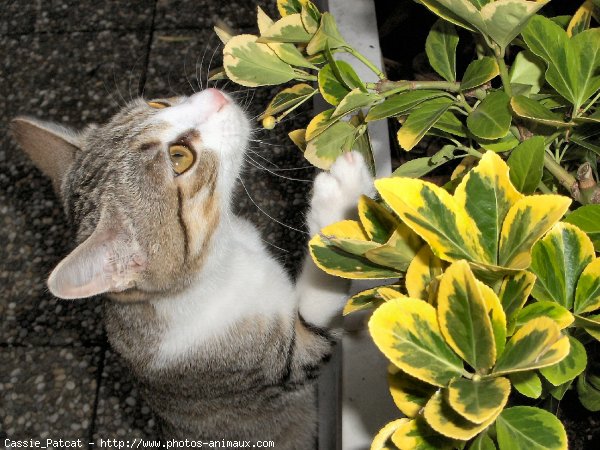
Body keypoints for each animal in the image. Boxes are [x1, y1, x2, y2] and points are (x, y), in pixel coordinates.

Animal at [9, 87, 372, 446]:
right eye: (179, 157)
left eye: (157, 103)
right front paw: (340, 201)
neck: (225, 253)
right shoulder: (279, 365)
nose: (215, 94)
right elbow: (320, 303)